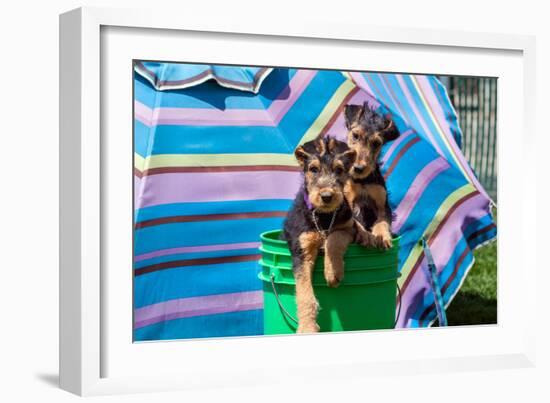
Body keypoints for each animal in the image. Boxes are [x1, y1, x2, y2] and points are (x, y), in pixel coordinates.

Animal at [284, 137, 358, 332]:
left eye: (339, 170)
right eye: (313, 169)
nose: (326, 196)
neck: (323, 216)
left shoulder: (348, 227)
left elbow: (333, 239)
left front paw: (333, 272)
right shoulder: (302, 250)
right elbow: (305, 294)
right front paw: (307, 328)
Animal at [344, 103, 402, 249]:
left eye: (376, 143)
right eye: (355, 135)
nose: (358, 168)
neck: (363, 181)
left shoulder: (383, 205)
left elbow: (382, 221)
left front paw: (381, 236)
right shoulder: (348, 202)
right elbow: (355, 221)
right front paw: (365, 235)